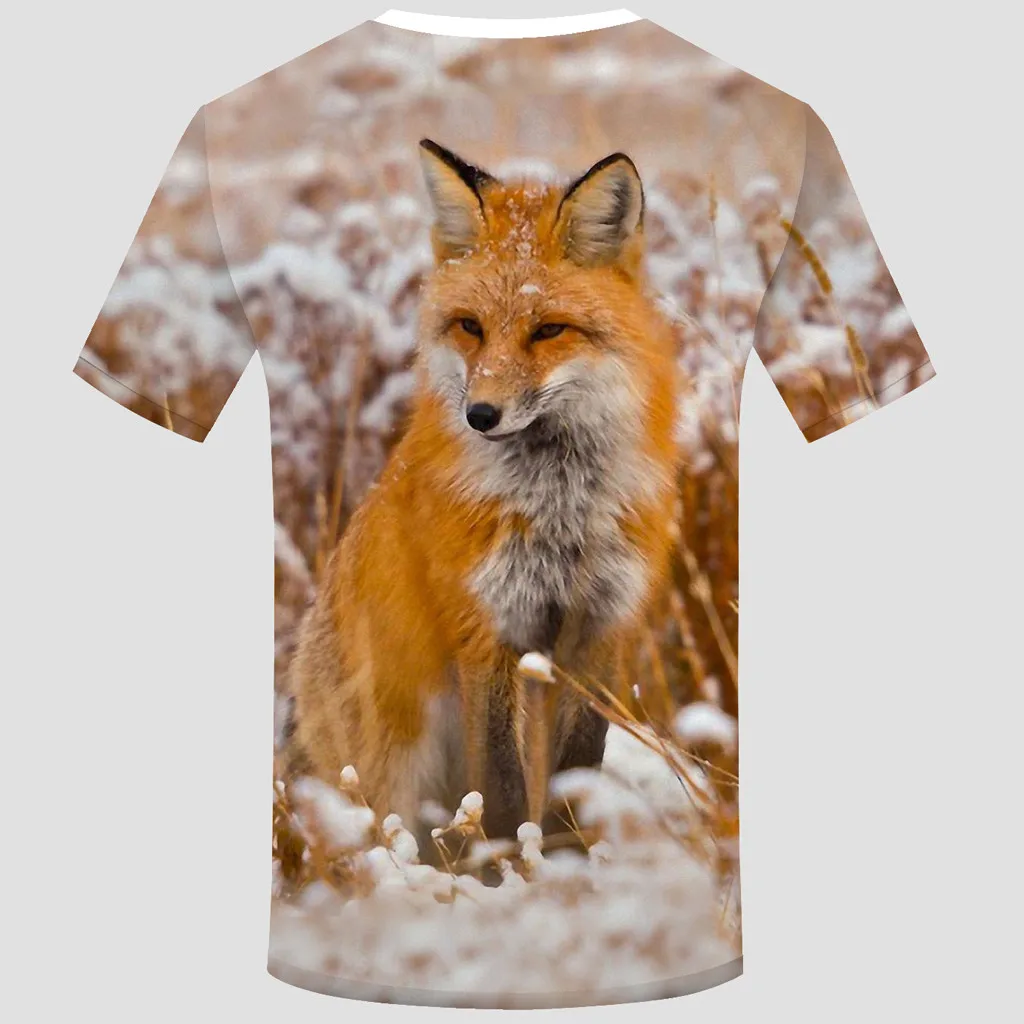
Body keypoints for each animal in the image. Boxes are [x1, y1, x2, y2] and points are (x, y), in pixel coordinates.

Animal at [283, 139, 682, 843]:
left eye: (549, 330)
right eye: (470, 326)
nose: (481, 415)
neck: (560, 508)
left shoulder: (601, 629)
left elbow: (575, 777)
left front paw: (567, 863)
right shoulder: (486, 629)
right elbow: (498, 791)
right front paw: (507, 865)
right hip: (392, 767)